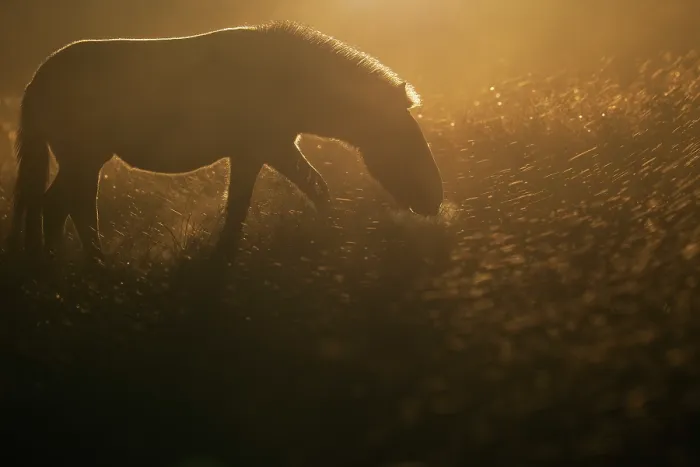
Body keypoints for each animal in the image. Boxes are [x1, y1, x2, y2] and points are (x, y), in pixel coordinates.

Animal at [7, 20, 443, 263]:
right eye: (403, 140)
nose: (435, 201)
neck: (289, 77)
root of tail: (38, 79)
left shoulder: (261, 151)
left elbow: (251, 203)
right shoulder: (266, 148)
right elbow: (303, 191)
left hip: (83, 159)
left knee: (59, 205)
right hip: (84, 157)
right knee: (65, 206)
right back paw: (88, 267)